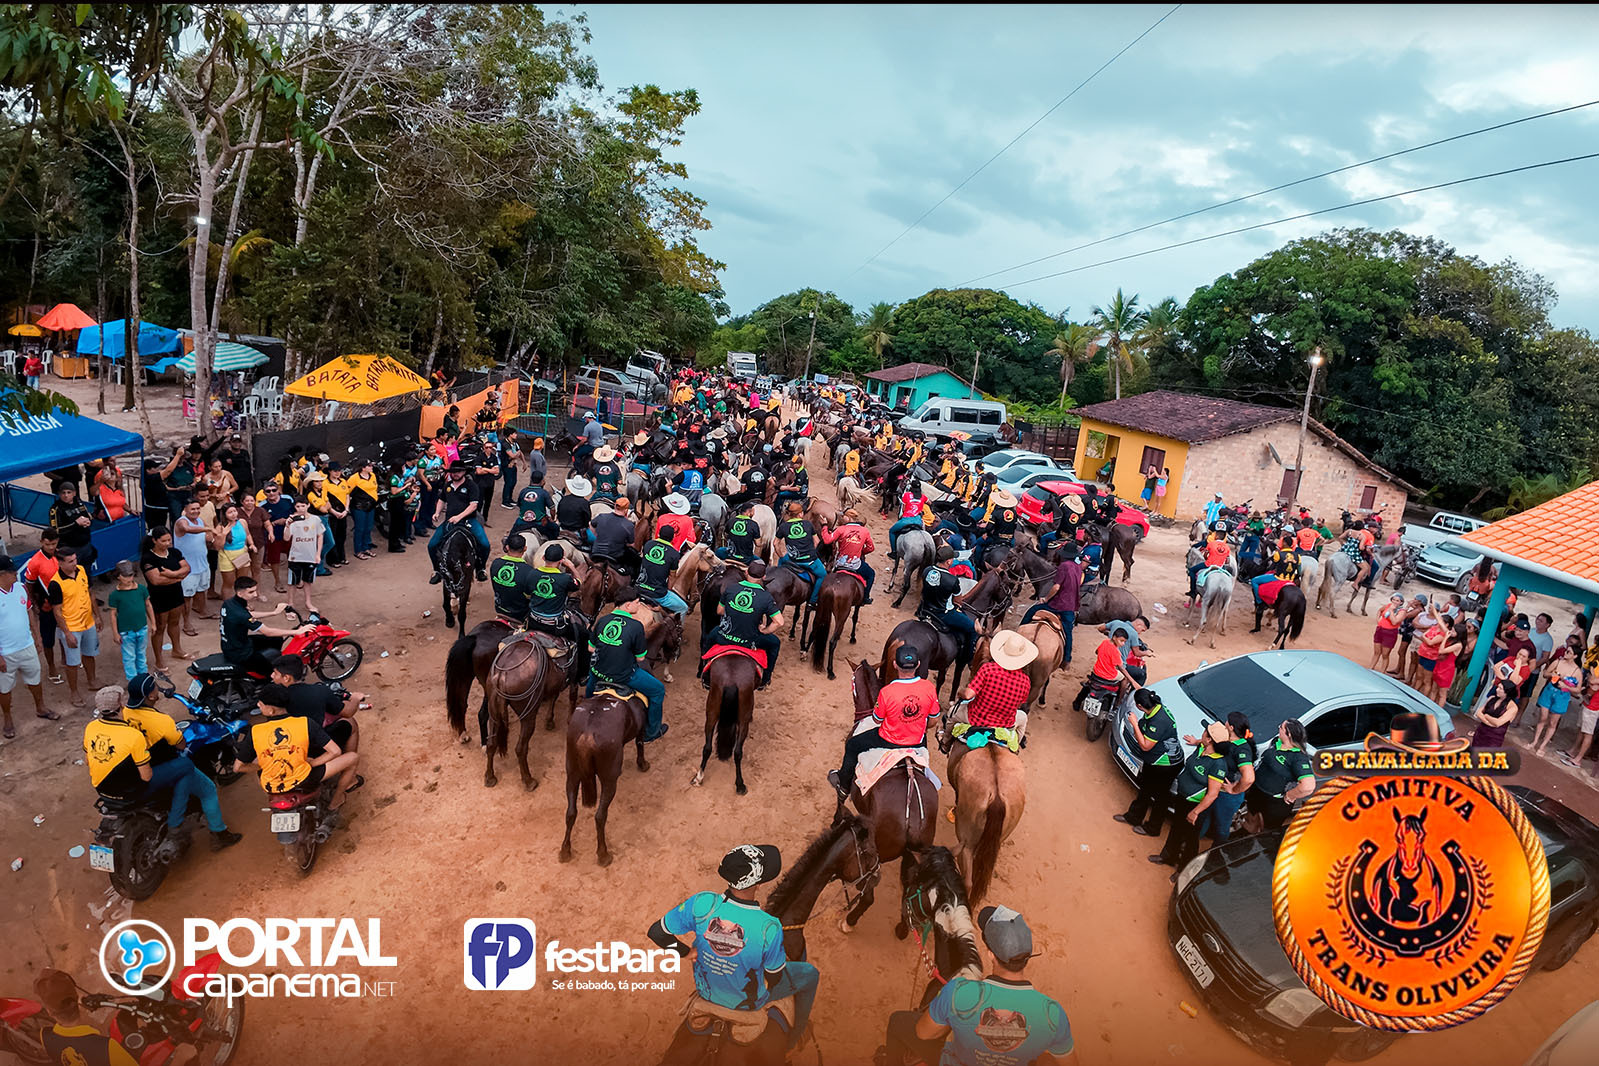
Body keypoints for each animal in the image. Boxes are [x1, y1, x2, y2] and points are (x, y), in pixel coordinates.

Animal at [560, 688, 649, 866]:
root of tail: (587, 735)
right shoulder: (642, 726)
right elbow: (640, 744)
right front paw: (642, 764)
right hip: (609, 778)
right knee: (600, 816)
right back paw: (603, 854)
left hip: (572, 772)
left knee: (571, 812)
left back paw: (565, 851)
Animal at [692, 651, 760, 794]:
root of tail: (731, 681)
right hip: (743, 717)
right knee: (738, 752)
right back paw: (740, 784)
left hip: (711, 710)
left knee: (707, 747)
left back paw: (699, 777)